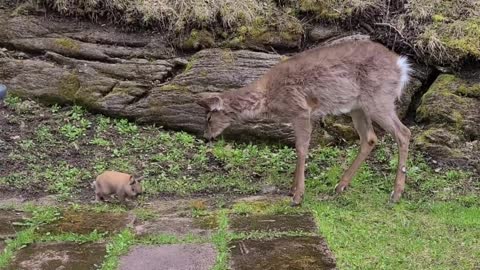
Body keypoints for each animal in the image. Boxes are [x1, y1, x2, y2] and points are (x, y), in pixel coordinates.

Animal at [195, 39, 412, 206]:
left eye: (209, 118)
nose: (206, 136)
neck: (268, 96)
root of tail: (401, 66)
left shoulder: (300, 110)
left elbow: (301, 148)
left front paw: (297, 196)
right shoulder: (295, 116)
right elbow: (298, 147)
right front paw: (292, 190)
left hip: (379, 98)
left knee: (403, 132)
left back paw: (395, 194)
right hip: (357, 107)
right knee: (370, 138)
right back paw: (340, 186)